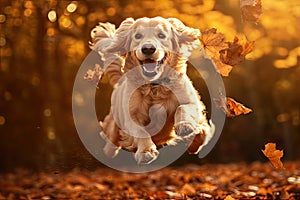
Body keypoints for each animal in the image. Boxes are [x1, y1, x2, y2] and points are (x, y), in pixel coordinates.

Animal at [90, 17, 214, 164]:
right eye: (138, 36)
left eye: (161, 35)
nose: (148, 49)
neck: (154, 86)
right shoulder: (131, 117)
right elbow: (140, 132)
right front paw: (146, 152)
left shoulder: (191, 101)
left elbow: (183, 108)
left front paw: (187, 127)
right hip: (114, 129)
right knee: (110, 146)